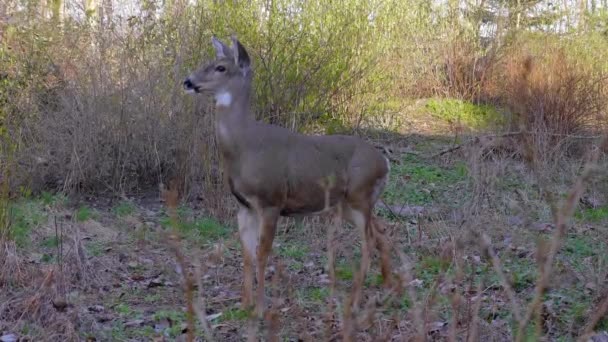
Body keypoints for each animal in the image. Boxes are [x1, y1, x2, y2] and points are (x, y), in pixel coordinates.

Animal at [184, 36, 394, 316]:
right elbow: (247, 254)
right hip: (349, 203)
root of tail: (385, 163)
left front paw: (260, 309)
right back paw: (388, 289)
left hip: (360, 196)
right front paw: (244, 305)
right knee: (381, 230)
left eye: (220, 67)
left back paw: (355, 301)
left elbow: (262, 254)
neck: (244, 146)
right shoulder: (244, 206)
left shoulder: (271, 201)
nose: (188, 81)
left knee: (369, 239)